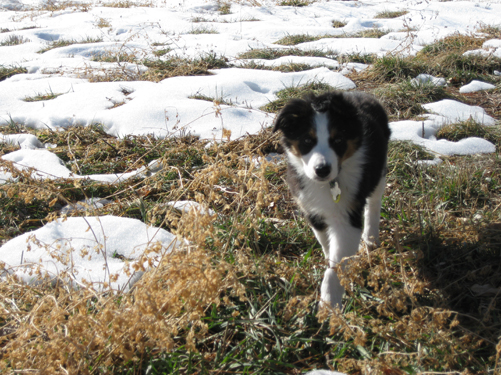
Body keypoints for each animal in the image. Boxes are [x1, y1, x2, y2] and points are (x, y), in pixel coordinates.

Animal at [274, 91, 390, 308]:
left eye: (338, 140)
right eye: (307, 140)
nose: (322, 170)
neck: (327, 184)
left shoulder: (347, 217)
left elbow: (336, 265)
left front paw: (329, 302)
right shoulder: (312, 210)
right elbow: (327, 244)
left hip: (379, 172)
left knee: (374, 203)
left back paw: (371, 238)